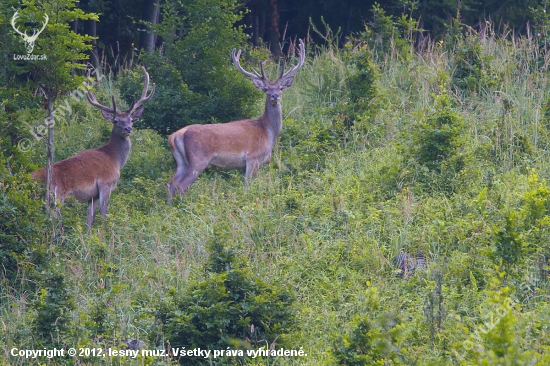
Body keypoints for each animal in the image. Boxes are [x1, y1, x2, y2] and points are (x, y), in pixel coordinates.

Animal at [32, 66, 155, 229]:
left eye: (131, 119)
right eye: (115, 120)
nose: (128, 128)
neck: (114, 159)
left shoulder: (93, 195)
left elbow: (90, 219)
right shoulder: (106, 184)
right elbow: (103, 215)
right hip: (57, 196)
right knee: (50, 220)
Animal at [168, 39, 306, 199]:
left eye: (281, 88)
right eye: (266, 89)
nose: (275, 96)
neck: (267, 131)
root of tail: (176, 135)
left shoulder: (242, 165)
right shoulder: (253, 157)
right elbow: (248, 186)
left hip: (181, 162)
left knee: (171, 184)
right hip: (198, 159)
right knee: (181, 186)